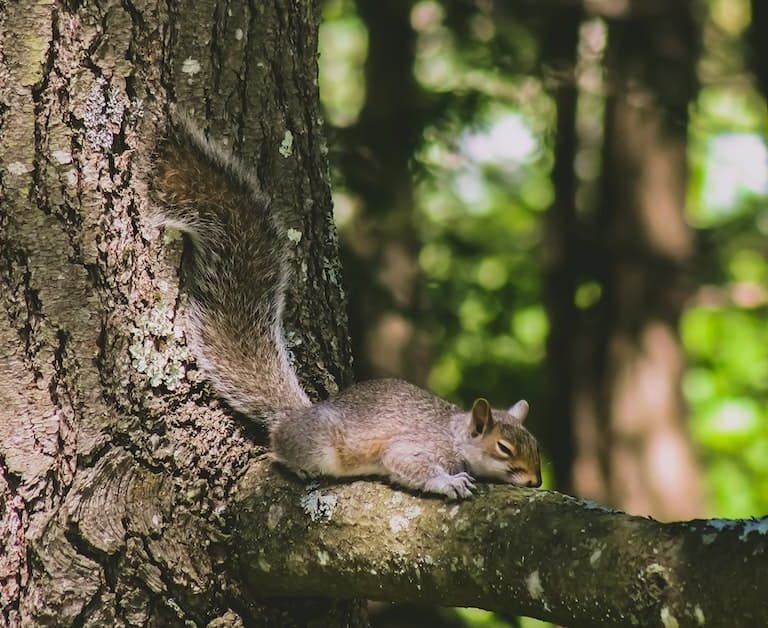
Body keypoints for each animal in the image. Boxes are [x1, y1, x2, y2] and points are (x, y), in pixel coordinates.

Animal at [148, 110, 540, 498]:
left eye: (535, 445)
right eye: (504, 448)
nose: (536, 481)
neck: (455, 436)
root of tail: (292, 416)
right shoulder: (413, 446)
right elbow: (408, 464)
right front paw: (448, 482)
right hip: (319, 447)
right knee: (277, 451)